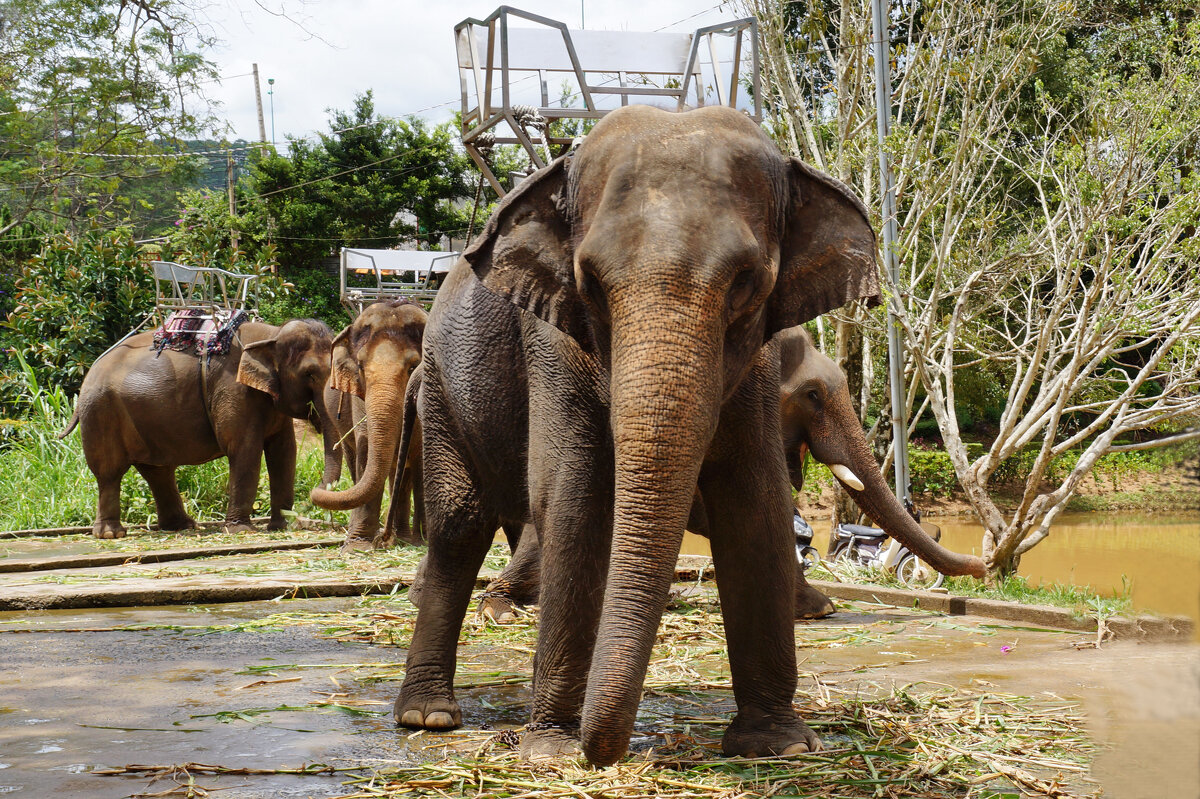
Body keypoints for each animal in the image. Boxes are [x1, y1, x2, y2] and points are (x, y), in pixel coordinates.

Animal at [63, 316, 340, 535]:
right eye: (309, 374)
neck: (271, 334)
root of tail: (90, 372)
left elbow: (284, 452)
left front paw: (282, 526)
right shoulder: (234, 391)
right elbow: (245, 450)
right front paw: (241, 530)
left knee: (158, 471)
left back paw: (182, 526)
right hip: (101, 412)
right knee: (110, 473)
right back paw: (112, 534)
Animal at [309, 295, 427, 551]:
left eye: (413, 367)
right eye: (361, 368)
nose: (314, 492)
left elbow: (416, 455)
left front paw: (417, 541)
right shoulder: (358, 398)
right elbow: (365, 448)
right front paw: (357, 547)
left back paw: (403, 537)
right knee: (357, 464)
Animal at [403, 105, 984, 767]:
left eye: (746, 282)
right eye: (589, 283)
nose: (604, 753)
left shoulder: (754, 365)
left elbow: (755, 502)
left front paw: (779, 745)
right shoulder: (552, 340)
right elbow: (573, 499)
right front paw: (549, 752)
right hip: (440, 388)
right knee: (461, 524)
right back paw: (430, 713)